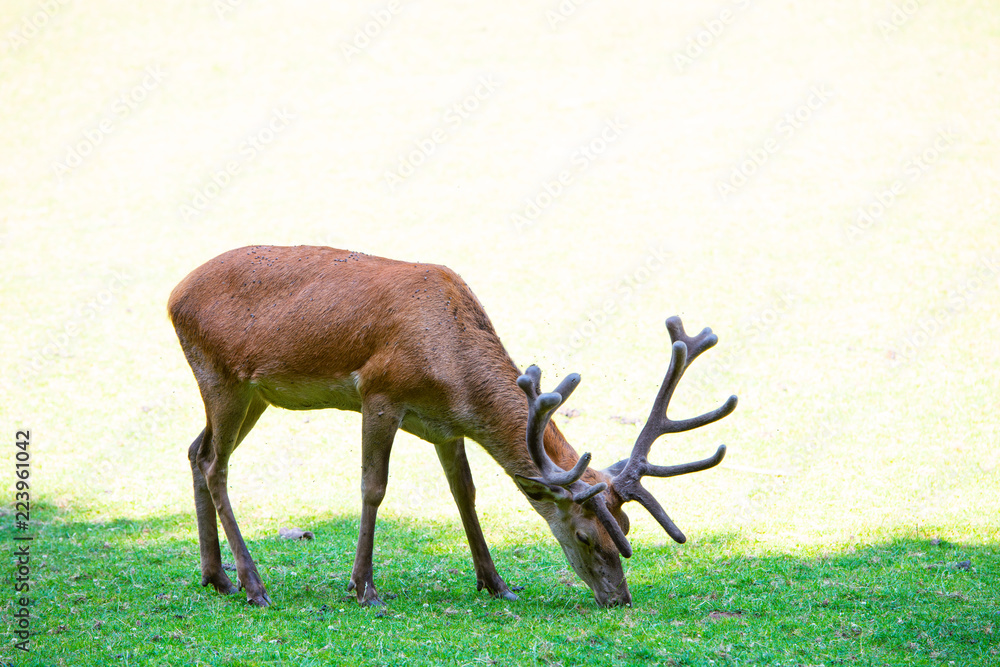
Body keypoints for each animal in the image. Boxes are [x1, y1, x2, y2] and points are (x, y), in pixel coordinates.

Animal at [168, 245, 737, 608]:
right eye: (586, 535)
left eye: (626, 528)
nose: (619, 598)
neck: (452, 372)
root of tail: (173, 296)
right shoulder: (380, 392)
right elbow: (373, 487)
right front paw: (363, 588)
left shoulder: (445, 426)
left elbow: (465, 494)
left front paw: (496, 583)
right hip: (221, 375)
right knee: (216, 464)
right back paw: (253, 585)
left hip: (252, 394)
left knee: (196, 450)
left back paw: (216, 576)